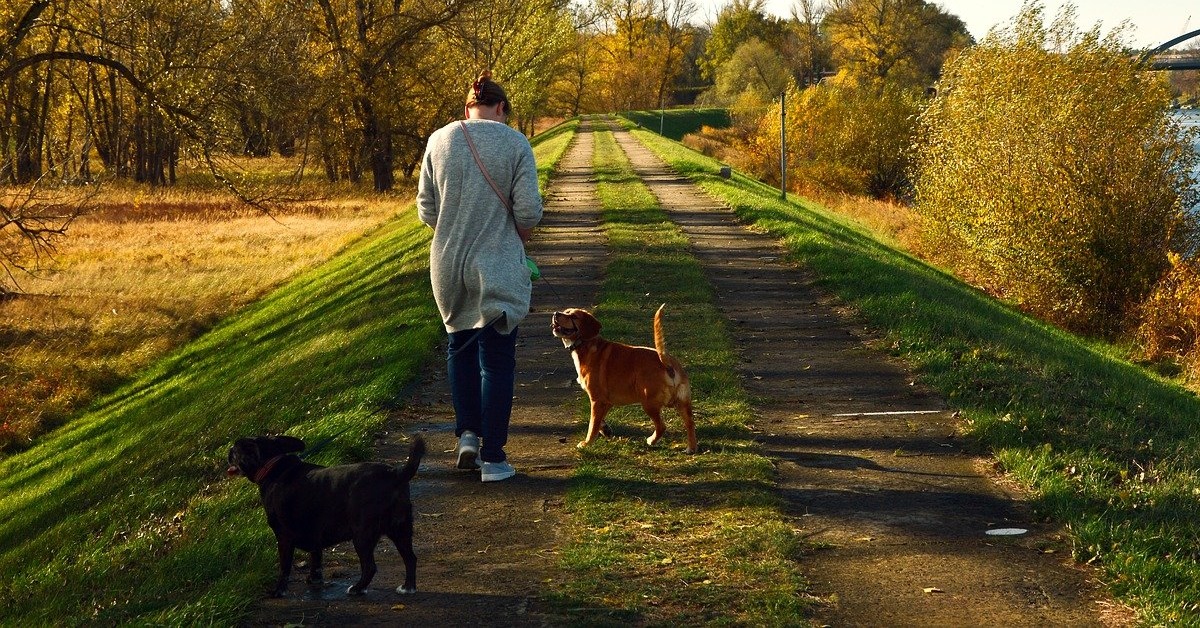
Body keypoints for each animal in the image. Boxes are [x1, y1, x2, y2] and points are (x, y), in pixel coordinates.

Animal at [225, 434, 427, 597]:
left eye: (236, 449)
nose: (229, 450)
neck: (273, 465)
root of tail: (396, 474)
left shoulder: (283, 537)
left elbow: (284, 567)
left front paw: (278, 591)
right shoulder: (314, 531)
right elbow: (316, 557)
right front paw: (314, 579)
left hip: (363, 535)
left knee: (370, 567)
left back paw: (357, 588)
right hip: (400, 530)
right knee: (410, 558)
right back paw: (408, 587)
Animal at [549, 303, 696, 451]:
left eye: (574, 316)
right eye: (566, 311)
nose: (556, 313)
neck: (586, 344)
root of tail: (665, 361)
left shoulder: (596, 400)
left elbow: (592, 424)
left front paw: (587, 443)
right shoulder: (605, 402)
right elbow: (599, 421)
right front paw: (605, 430)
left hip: (648, 403)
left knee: (662, 426)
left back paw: (651, 441)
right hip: (682, 403)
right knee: (690, 423)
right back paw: (691, 448)